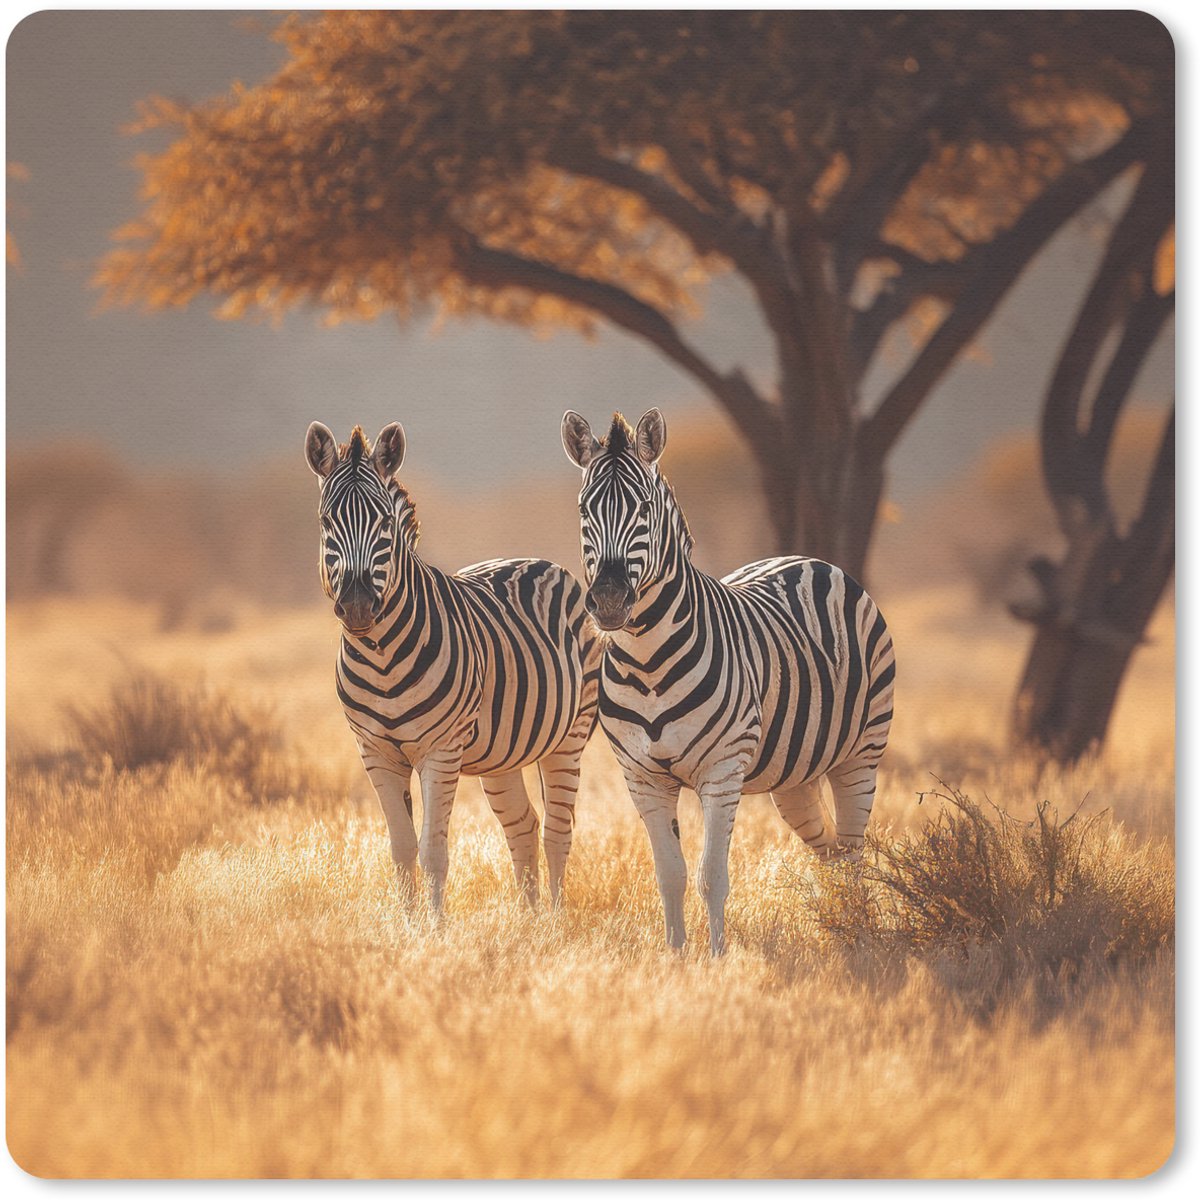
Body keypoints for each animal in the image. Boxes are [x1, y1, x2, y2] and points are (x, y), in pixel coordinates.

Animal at [306, 421, 600, 912]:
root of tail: (537, 560)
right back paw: (528, 920)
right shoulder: (375, 752)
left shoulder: (440, 750)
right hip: (503, 753)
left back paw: (555, 921)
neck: (381, 657)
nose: (358, 606)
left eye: (385, 523)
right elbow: (401, 848)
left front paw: (435, 927)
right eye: (327, 522)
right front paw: (406, 925)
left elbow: (432, 852)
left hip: (570, 736)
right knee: (523, 825)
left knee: (558, 832)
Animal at [561, 408, 895, 954]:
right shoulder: (642, 778)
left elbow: (711, 876)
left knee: (850, 851)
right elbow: (670, 874)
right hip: (794, 774)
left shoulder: (722, 770)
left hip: (862, 752)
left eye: (644, 509)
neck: (647, 663)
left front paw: (717, 958)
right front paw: (676, 956)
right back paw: (836, 924)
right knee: (827, 848)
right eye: (585, 510)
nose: (609, 600)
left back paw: (858, 933)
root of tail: (808, 559)